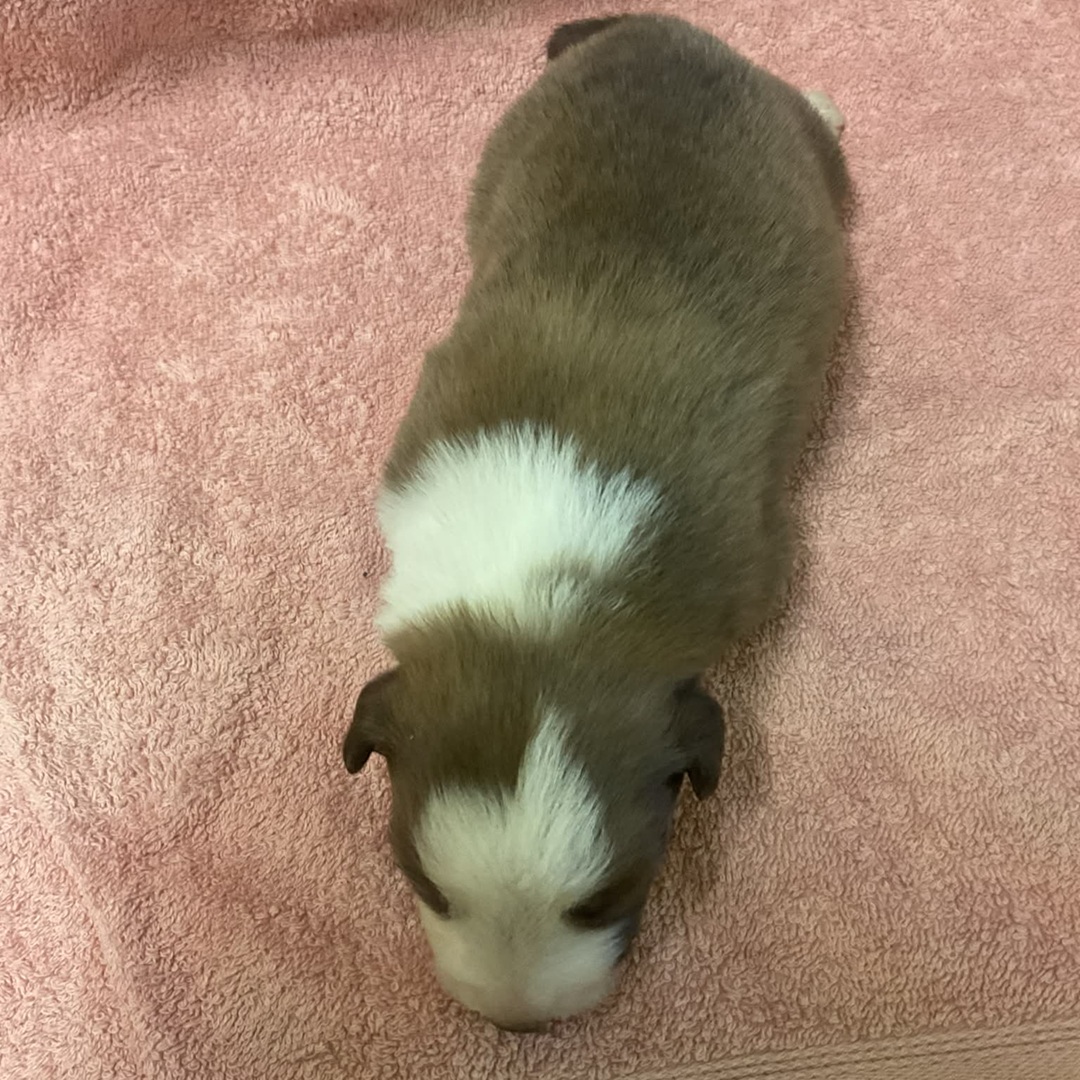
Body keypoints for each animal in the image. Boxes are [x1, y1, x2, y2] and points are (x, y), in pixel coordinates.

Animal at [343, 13, 850, 1031]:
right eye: (425, 883)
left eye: (613, 896)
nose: (517, 1024)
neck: (541, 604)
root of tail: (657, 26)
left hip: (803, 154)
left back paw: (823, 104)